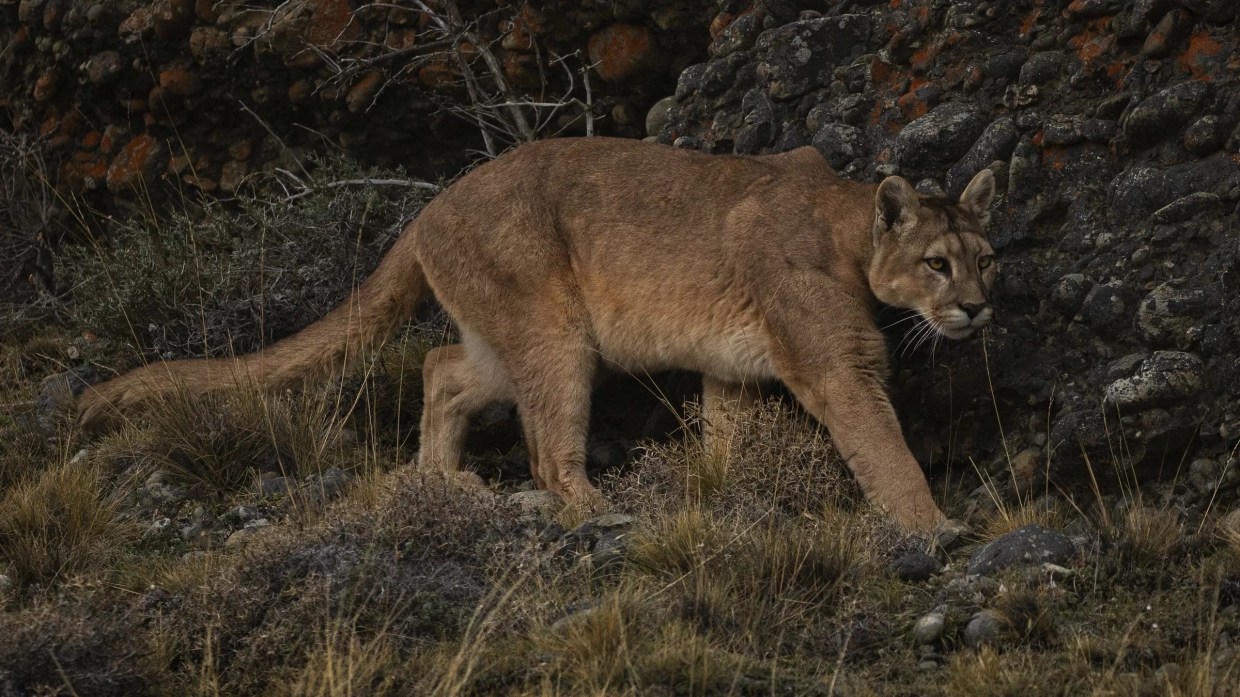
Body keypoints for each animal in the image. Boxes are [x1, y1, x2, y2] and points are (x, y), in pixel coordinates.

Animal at [78, 137, 997, 534]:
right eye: (937, 263)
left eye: (988, 258)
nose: (980, 308)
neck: (846, 228)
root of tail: (428, 209)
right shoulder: (838, 366)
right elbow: (884, 447)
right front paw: (936, 529)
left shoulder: (732, 367)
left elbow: (731, 436)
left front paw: (728, 493)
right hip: (556, 333)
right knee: (548, 450)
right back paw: (602, 508)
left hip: (509, 338)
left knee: (443, 366)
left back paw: (442, 481)